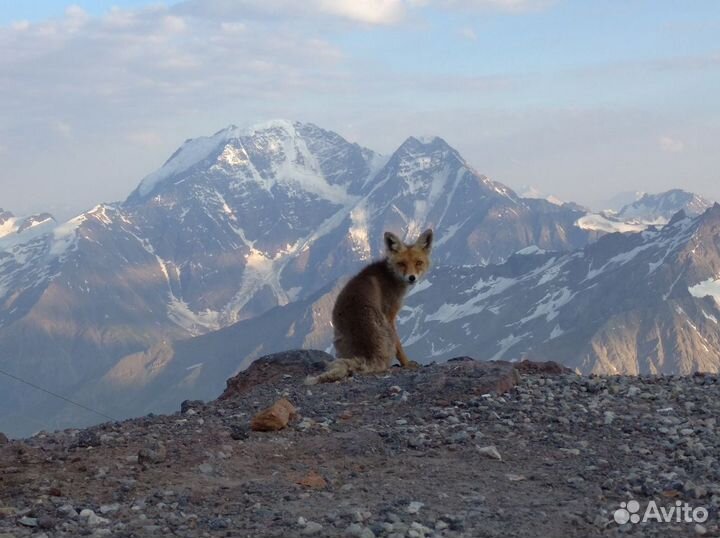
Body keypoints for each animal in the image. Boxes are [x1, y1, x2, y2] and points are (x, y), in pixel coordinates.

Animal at [306, 228, 434, 384]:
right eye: (402, 264)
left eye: (418, 263)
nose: (411, 278)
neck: (389, 275)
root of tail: (368, 355)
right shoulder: (389, 316)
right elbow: (399, 347)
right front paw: (407, 363)